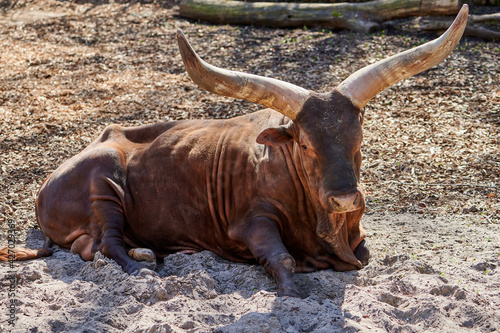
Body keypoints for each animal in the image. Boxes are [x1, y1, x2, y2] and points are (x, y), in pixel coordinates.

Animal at [0, 5, 468, 296]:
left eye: (359, 138)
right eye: (304, 143)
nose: (345, 198)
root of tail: (47, 182)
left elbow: (364, 256)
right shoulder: (249, 222)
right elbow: (282, 259)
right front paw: (292, 290)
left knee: (92, 247)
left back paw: (146, 250)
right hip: (103, 183)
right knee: (106, 247)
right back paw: (142, 264)